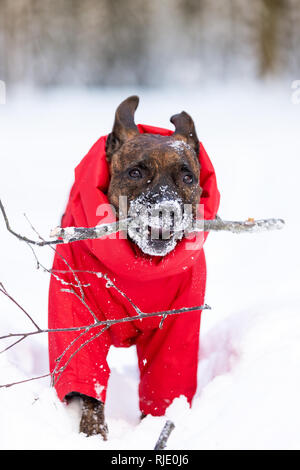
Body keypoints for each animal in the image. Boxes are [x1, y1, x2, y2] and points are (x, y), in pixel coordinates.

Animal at [48, 96, 218, 440]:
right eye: (135, 172)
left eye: (188, 177)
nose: (165, 210)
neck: (140, 266)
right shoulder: (77, 317)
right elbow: (88, 381)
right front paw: (93, 433)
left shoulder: (177, 326)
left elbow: (165, 381)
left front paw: (155, 426)